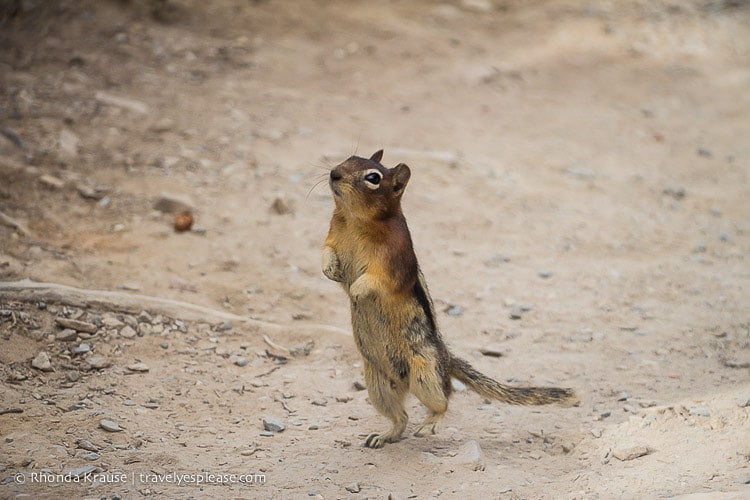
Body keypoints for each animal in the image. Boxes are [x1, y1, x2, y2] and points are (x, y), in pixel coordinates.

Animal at [322, 149, 576, 450]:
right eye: (350, 157)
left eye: (373, 178)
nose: (334, 173)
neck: (355, 221)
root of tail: (447, 358)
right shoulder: (332, 235)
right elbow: (326, 252)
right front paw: (330, 270)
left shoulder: (396, 259)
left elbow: (378, 280)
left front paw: (358, 289)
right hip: (377, 383)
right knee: (401, 417)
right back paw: (386, 435)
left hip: (426, 372)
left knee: (444, 399)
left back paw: (431, 422)